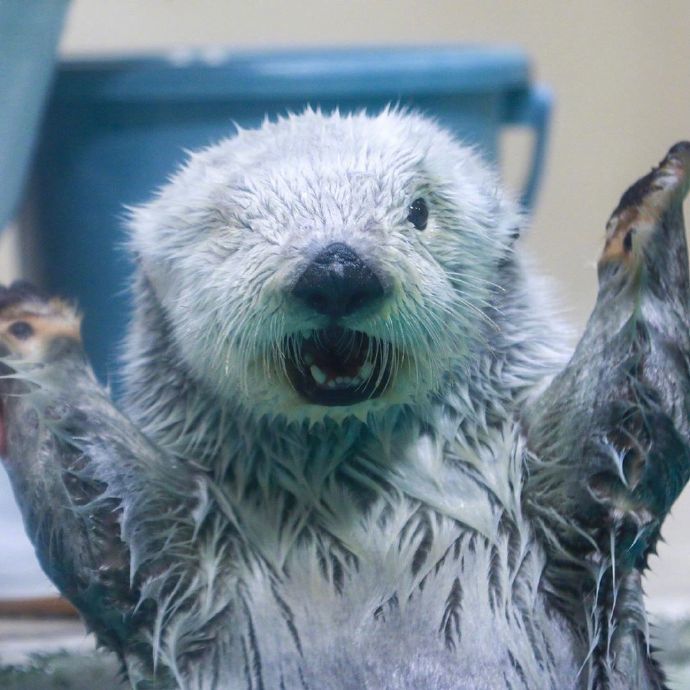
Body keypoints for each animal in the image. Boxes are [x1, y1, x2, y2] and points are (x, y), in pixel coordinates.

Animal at [1, 110, 688, 684]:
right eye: (235, 223)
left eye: (419, 210)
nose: (337, 271)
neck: (356, 489)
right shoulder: (175, 547)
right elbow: (95, 523)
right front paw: (28, 323)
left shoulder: (548, 493)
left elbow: (626, 424)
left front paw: (656, 203)